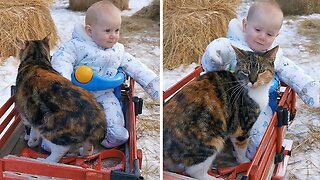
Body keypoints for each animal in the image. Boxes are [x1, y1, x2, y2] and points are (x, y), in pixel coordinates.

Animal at [164, 45, 278, 179]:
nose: (253, 81)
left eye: (261, 71)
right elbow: (241, 148)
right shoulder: (242, 127)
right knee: (194, 171)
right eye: (246, 71)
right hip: (211, 139)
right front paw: (243, 162)